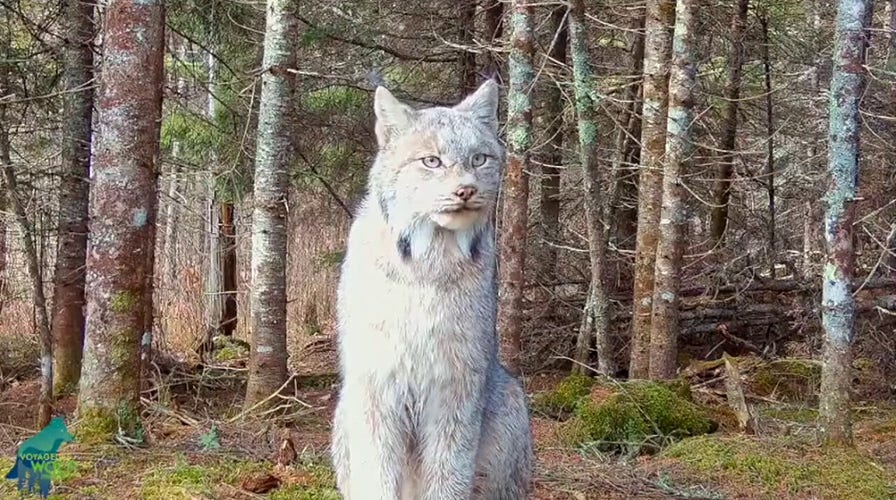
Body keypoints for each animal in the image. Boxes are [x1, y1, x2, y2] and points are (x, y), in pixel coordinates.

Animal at [330, 79, 533, 500]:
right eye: (432, 162)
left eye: (479, 159)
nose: (466, 191)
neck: (429, 261)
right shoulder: (377, 383)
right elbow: (377, 474)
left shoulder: (457, 383)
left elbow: (449, 472)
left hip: (511, 400)